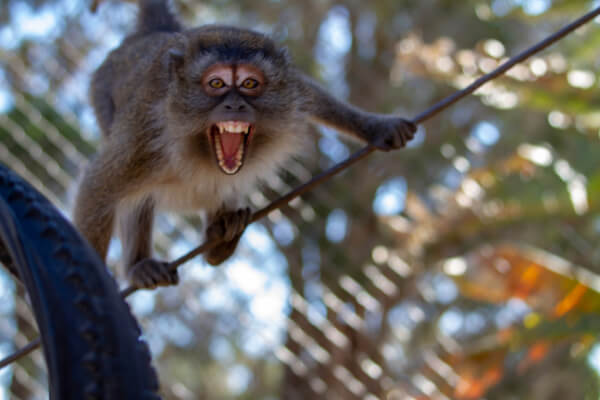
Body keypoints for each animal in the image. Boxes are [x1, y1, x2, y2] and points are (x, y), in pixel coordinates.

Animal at [72, 0, 414, 290]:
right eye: (217, 84)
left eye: (250, 83)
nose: (235, 105)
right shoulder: (145, 140)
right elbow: (98, 189)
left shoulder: (288, 89)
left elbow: (309, 93)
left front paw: (376, 127)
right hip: (101, 93)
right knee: (137, 197)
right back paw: (141, 266)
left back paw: (219, 237)